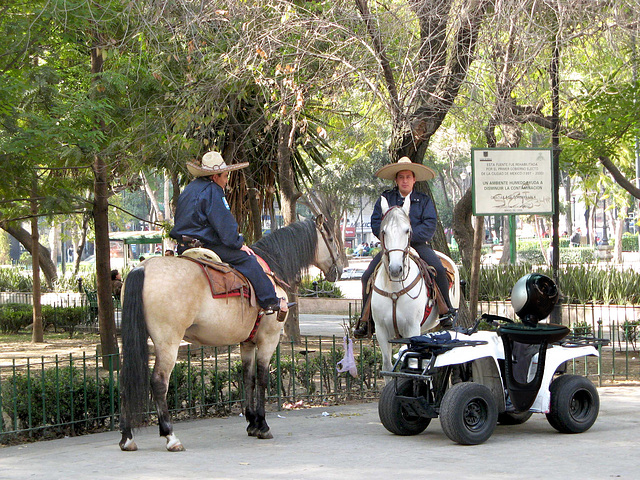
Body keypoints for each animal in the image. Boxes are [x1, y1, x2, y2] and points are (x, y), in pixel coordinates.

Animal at [117, 216, 342, 452]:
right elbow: (262, 378)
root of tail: (142, 268)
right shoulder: (268, 340)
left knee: (125, 379)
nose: (340, 269)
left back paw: (127, 437)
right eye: (330, 239)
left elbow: (248, 378)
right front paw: (263, 425)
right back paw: (170, 436)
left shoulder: (247, 343)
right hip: (168, 341)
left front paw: (252, 423)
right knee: (159, 382)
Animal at [372, 195, 458, 376]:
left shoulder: (411, 329)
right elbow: (388, 367)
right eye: (384, 232)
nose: (396, 269)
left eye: (407, 230)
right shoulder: (381, 330)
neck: (394, 290)